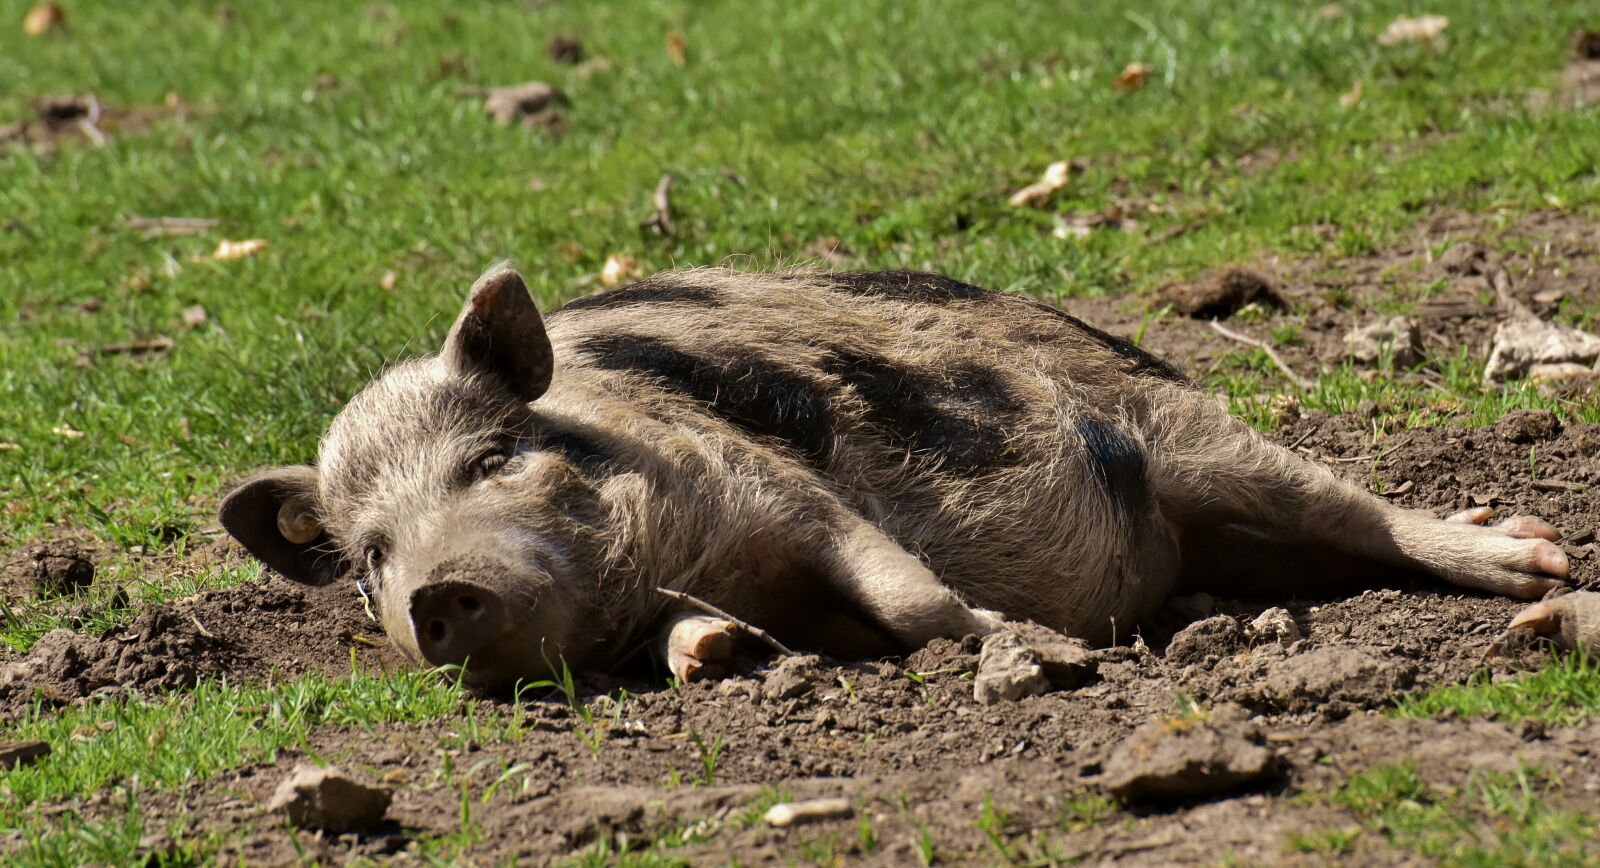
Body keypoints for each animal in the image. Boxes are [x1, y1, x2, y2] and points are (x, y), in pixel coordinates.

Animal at [219, 266, 1572, 687]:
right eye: (368, 556)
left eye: (494, 456)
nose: (434, 591)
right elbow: (687, 637)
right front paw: (720, 654)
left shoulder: (780, 487)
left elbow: (908, 591)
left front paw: (1020, 643)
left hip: (1191, 432)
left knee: (1364, 511)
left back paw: (1534, 560)